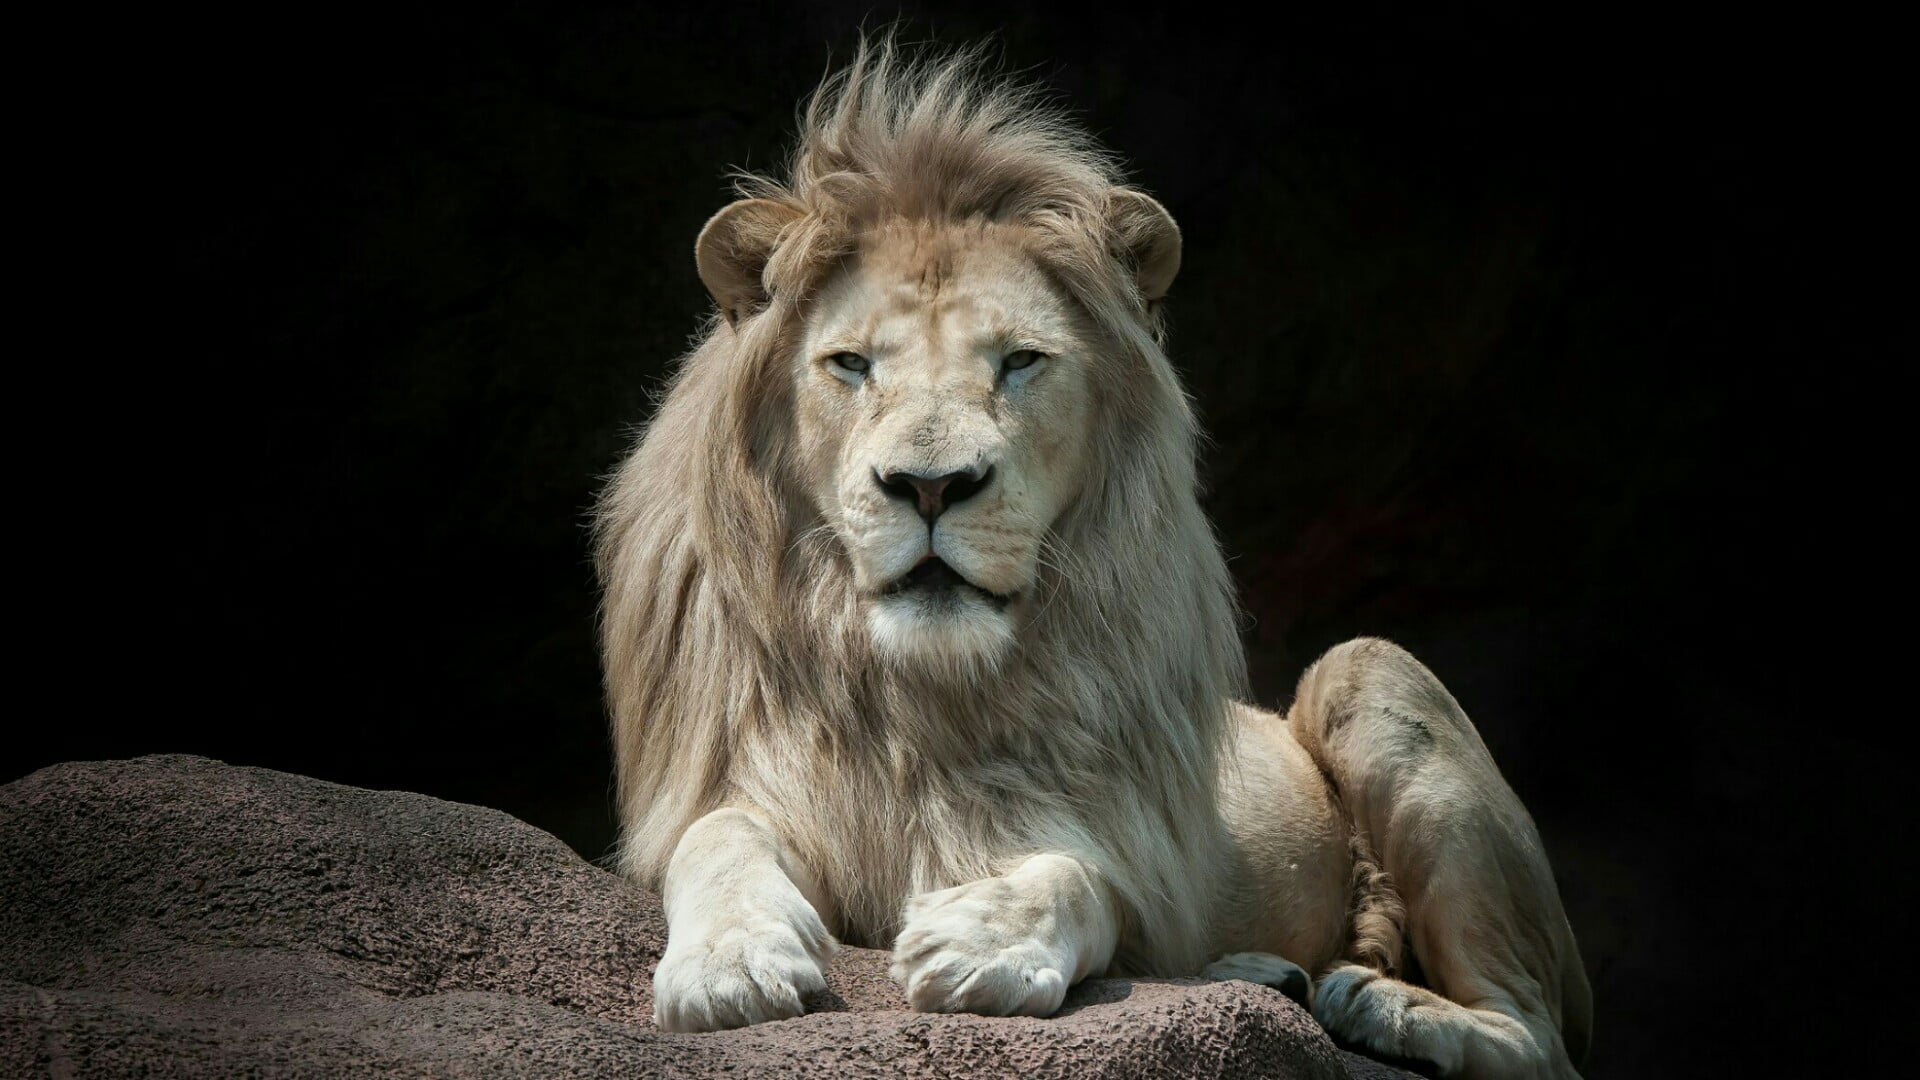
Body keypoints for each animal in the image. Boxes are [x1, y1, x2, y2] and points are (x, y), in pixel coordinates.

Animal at [595, 39, 1592, 1079]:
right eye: (852, 365)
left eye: (1020, 361)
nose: (931, 486)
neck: (926, 691)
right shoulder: (751, 787)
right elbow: (717, 835)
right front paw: (731, 965)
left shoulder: (1131, 842)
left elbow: (1079, 874)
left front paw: (982, 943)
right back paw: (1274, 975)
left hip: (1373, 672)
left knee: (1535, 1038)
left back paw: (1376, 1006)